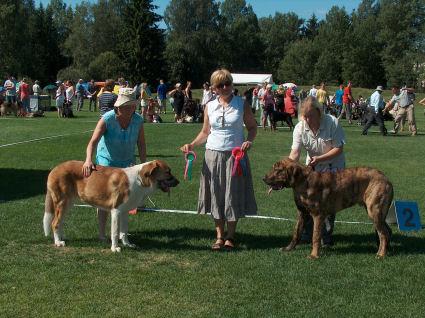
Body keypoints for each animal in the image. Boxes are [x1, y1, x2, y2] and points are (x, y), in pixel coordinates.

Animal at [44, 160, 179, 252]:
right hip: (62, 203)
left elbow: (124, 231)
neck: (140, 180)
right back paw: (58, 242)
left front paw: (127, 244)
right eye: (168, 172)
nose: (178, 182)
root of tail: (55, 168)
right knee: (55, 222)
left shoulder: (125, 212)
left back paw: (61, 237)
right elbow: (115, 232)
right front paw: (115, 248)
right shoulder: (116, 211)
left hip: (68, 204)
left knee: (59, 222)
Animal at [264, 158, 392, 260]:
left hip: (374, 211)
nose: (263, 178)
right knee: (387, 231)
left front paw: (314, 255)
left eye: (278, 170)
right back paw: (386, 250)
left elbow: (315, 236)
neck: (303, 182)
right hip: (377, 213)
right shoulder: (302, 213)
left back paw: (381, 254)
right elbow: (296, 232)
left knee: (383, 233)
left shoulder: (317, 215)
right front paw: (288, 248)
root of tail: (386, 179)